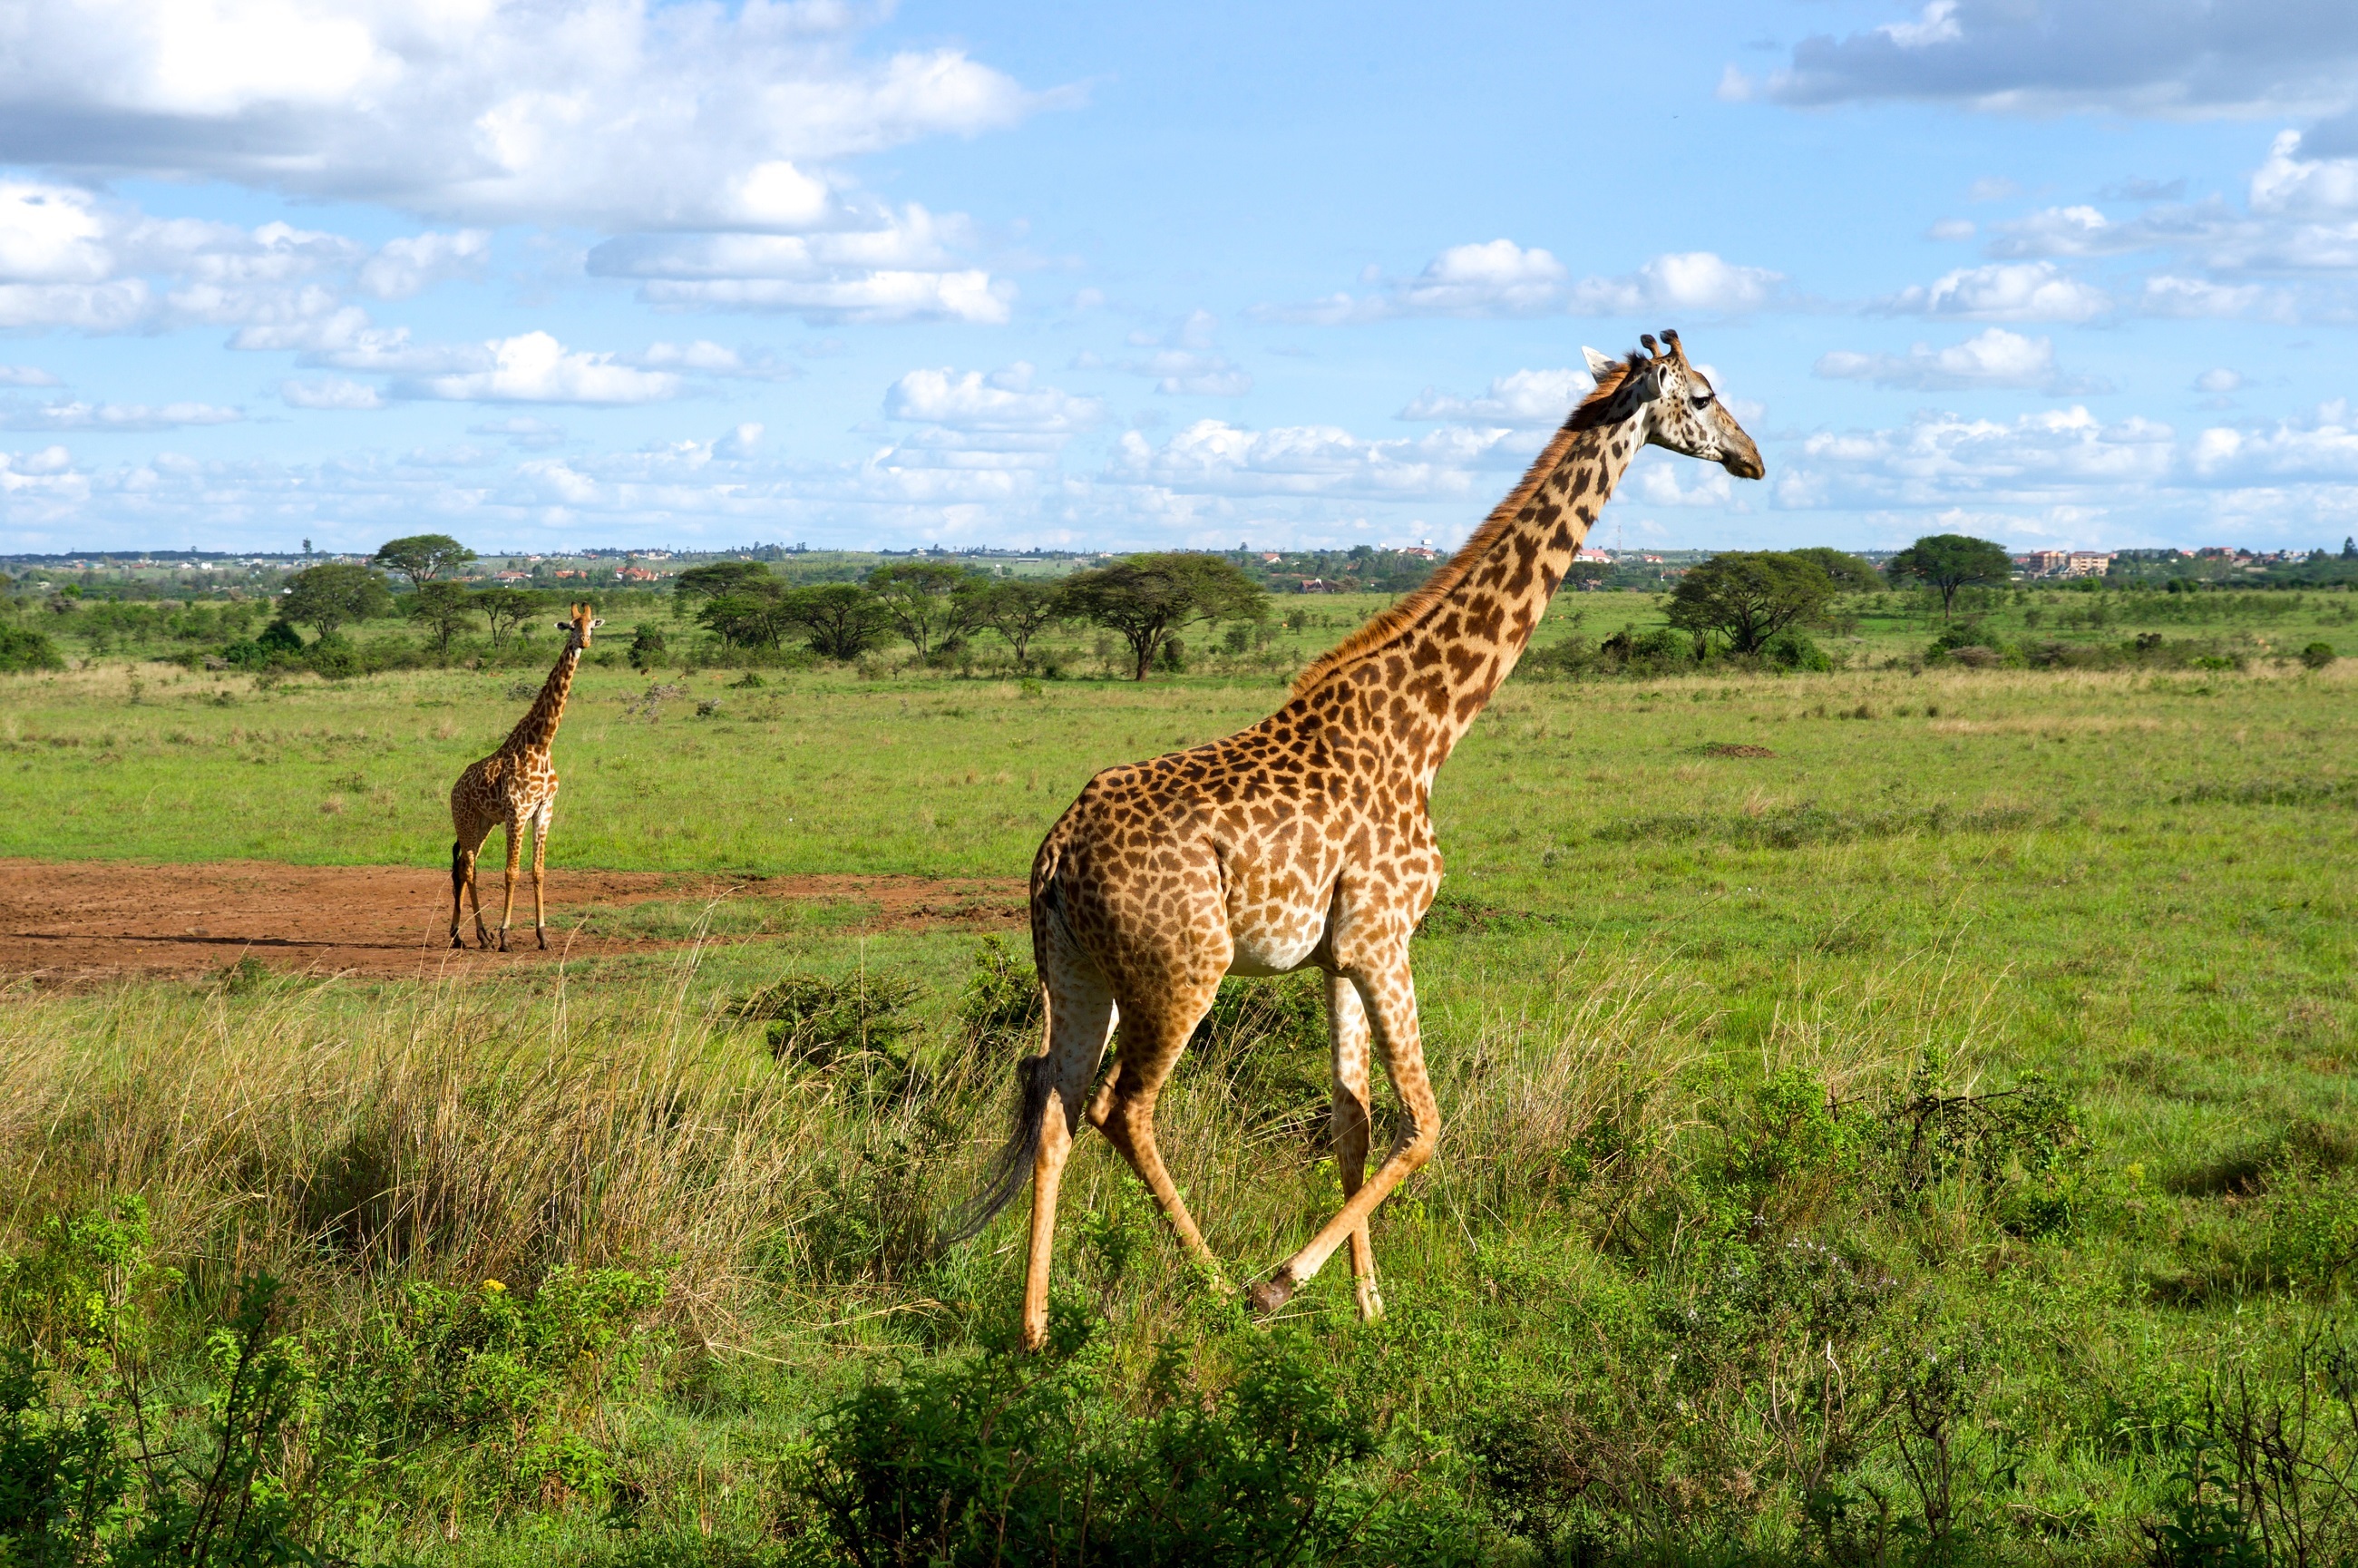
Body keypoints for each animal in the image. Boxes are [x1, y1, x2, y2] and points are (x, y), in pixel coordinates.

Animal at [448, 601, 602, 952]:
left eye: (592, 626)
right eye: (571, 626)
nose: (584, 643)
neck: (542, 744)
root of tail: (455, 787)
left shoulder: (544, 810)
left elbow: (538, 871)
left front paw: (543, 936)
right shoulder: (517, 810)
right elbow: (511, 871)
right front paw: (505, 935)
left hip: (484, 823)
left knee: (463, 866)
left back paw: (461, 935)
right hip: (464, 818)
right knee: (469, 868)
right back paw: (480, 934)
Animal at [951, 331, 1764, 1350]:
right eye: (1703, 394)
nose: (1753, 459)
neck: (1429, 727)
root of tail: (1054, 853)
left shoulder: (1339, 954)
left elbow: (1353, 1121)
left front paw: (1370, 1306)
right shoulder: (1385, 936)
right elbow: (1425, 1124)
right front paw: (1285, 1284)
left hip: (1077, 969)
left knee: (1055, 1105)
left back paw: (1033, 1327)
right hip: (1182, 969)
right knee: (1120, 1106)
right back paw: (1217, 1286)